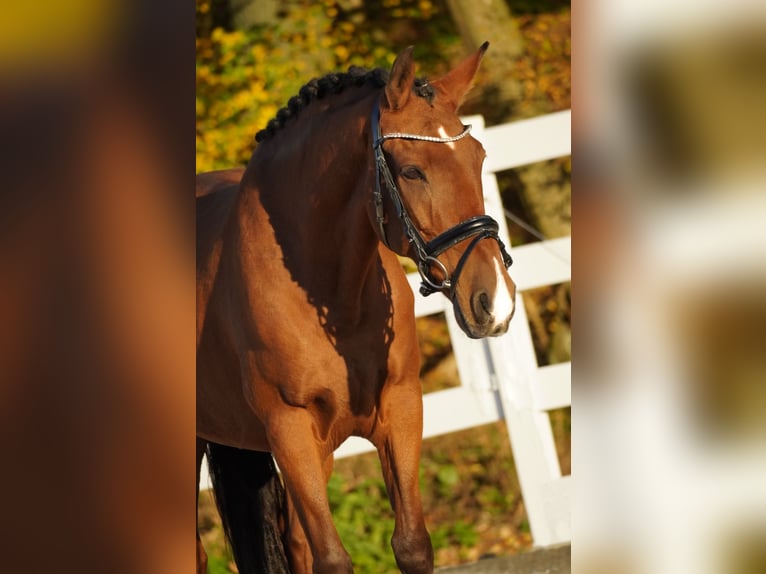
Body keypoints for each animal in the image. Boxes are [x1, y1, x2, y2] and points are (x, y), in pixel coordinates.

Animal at [195, 45, 520, 574]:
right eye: (411, 171)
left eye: (480, 158)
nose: (495, 300)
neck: (328, 294)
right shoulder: (290, 430)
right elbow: (331, 559)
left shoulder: (400, 408)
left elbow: (410, 544)